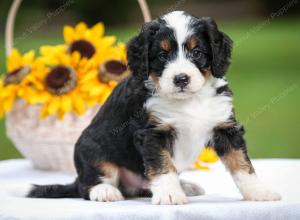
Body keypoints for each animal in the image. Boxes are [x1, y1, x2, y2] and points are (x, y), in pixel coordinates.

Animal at [16, 11, 280, 205]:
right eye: (162, 55)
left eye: (197, 52)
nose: (181, 79)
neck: (189, 100)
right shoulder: (152, 133)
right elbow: (163, 166)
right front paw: (171, 195)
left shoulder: (225, 127)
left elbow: (242, 164)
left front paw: (259, 192)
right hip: (90, 149)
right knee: (87, 184)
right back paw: (105, 191)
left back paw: (184, 185)